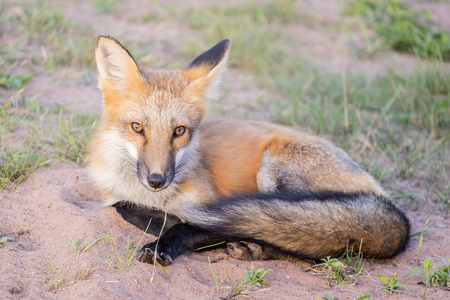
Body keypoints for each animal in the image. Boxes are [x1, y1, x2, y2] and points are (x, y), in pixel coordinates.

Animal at [86, 36, 410, 266]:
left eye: (179, 131)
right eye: (137, 127)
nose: (157, 180)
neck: (152, 199)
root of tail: (381, 196)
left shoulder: (210, 206)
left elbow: (187, 226)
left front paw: (162, 243)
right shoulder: (115, 194)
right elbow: (122, 205)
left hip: (274, 171)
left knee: (304, 240)